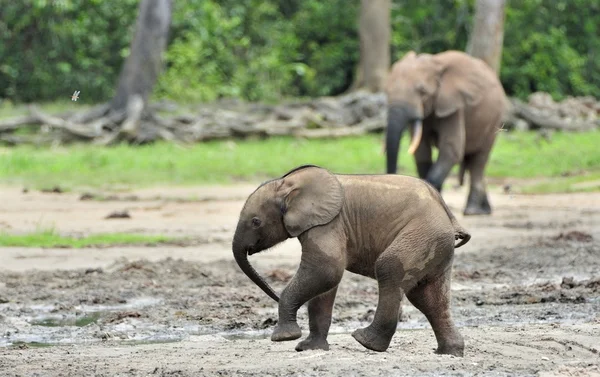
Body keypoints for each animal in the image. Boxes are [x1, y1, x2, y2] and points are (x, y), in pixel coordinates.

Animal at [232, 164, 472, 356]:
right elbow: (325, 284)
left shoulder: (329, 223)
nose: (272, 295)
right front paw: (309, 348)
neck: (289, 184)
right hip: (434, 243)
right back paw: (449, 353)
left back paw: (366, 341)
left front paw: (284, 338)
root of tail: (448, 213)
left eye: (255, 222)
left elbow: (326, 270)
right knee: (428, 298)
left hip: (422, 234)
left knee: (389, 269)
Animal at [384, 50, 506, 214]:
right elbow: (421, 152)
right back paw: (485, 210)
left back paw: (472, 210)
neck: (434, 64)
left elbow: (451, 149)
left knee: (479, 160)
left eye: (422, 91)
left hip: (494, 120)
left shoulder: (454, 105)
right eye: (387, 91)